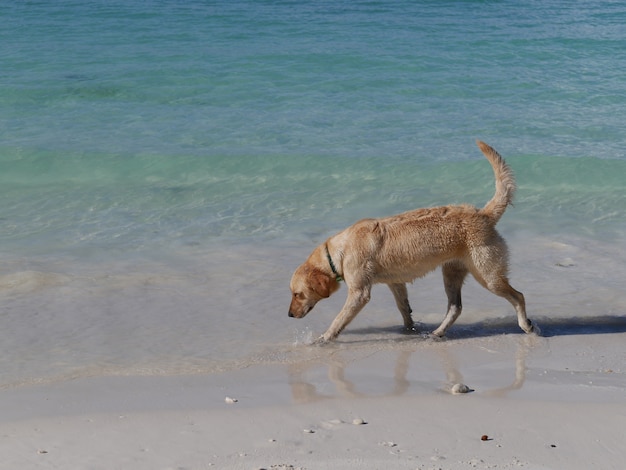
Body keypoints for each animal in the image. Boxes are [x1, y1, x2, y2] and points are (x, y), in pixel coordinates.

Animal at [288, 140, 536, 342]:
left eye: (298, 294)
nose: (289, 314)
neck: (339, 251)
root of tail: (484, 214)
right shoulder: (396, 283)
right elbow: (403, 307)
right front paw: (409, 329)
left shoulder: (359, 293)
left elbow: (339, 319)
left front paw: (324, 338)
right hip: (452, 272)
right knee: (455, 307)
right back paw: (437, 332)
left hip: (488, 275)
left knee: (518, 296)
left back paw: (526, 325)